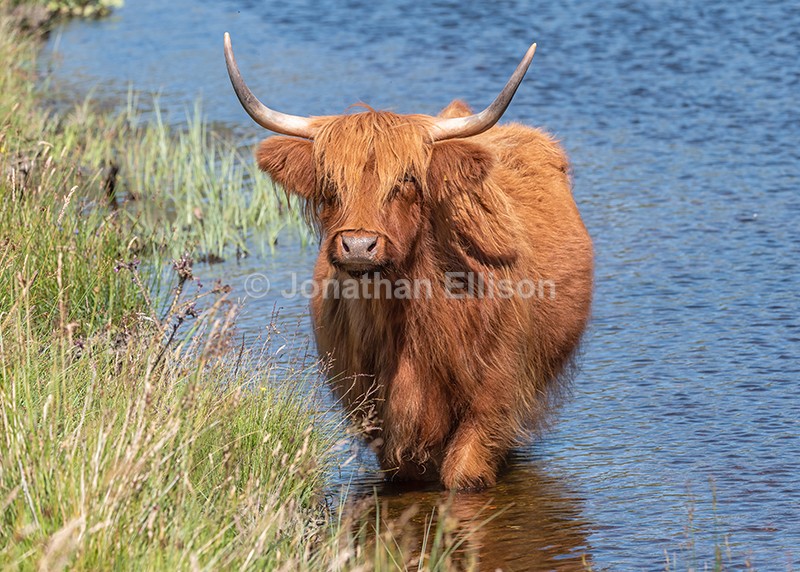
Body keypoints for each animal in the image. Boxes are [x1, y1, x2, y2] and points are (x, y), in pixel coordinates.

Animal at [224, 33, 593, 490]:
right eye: (330, 184)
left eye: (407, 180)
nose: (358, 245)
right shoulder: (374, 413)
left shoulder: (494, 398)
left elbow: (463, 475)